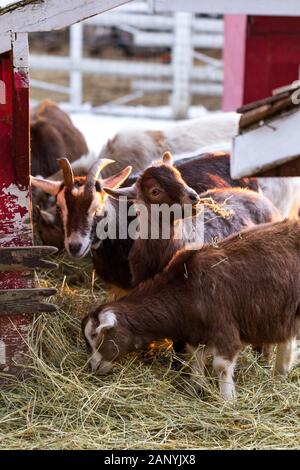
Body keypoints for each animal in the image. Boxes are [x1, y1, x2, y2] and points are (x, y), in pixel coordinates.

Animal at [82, 219, 300, 400]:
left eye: (95, 335)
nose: (93, 366)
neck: (185, 287)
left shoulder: (224, 330)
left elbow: (221, 367)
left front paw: (227, 401)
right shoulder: (197, 334)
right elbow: (195, 361)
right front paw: (193, 389)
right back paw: (280, 372)